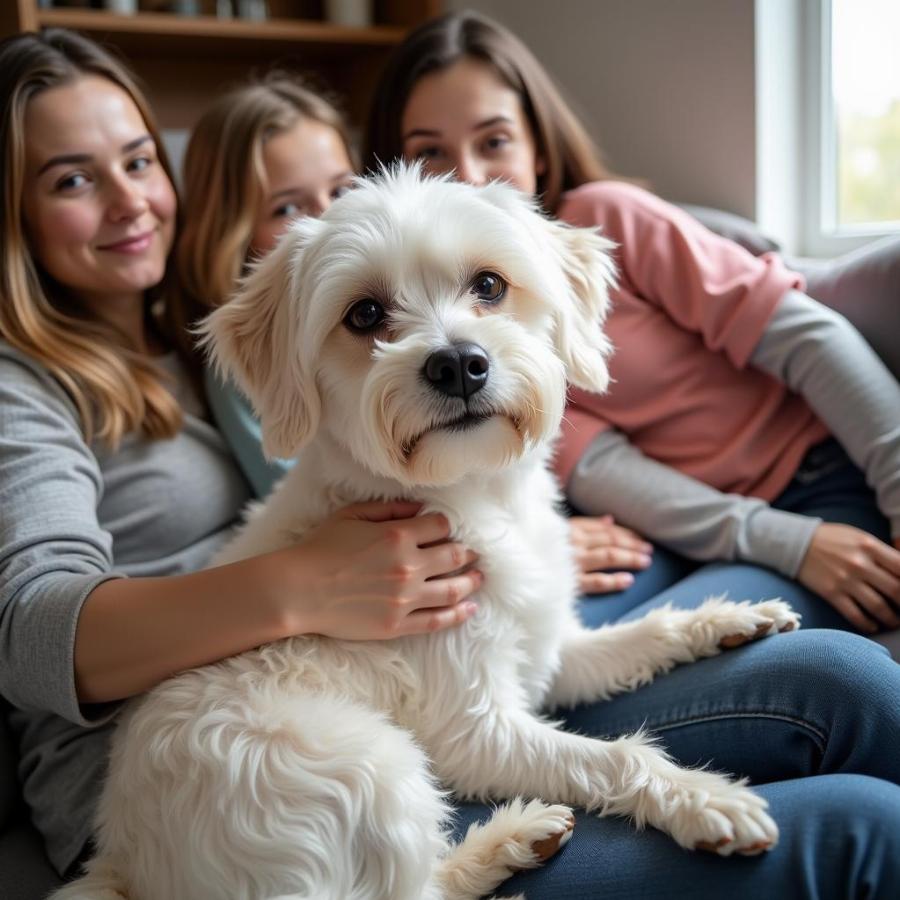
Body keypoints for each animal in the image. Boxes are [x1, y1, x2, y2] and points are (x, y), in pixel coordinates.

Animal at [56, 169, 800, 900]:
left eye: (490, 286)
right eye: (364, 315)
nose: (458, 363)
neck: (474, 497)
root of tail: (123, 865)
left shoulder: (548, 651)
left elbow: (643, 636)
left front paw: (731, 619)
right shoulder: (478, 731)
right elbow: (612, 757)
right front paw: (703, 799)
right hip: (367, 767)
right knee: (415, 890)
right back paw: (507, 841)